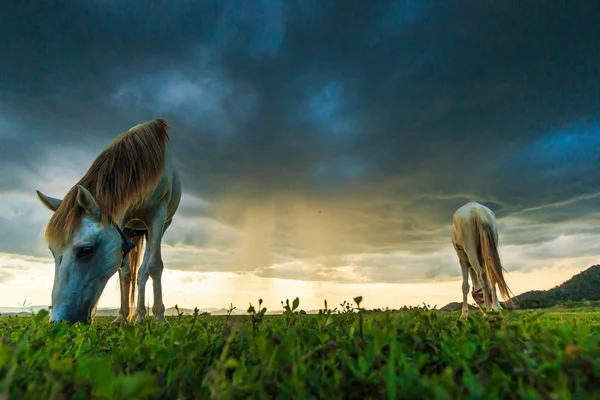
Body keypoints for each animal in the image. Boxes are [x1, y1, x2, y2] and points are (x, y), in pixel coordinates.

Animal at [34, 119, 180, 324]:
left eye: (85, 250)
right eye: (52, 251)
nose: (57, 322)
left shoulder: (158, 216)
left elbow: (154, 266)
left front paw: (160, 318)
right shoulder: (122, 225)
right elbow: (124, 273)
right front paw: (121, 318)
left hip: (156, 227)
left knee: (144, 272)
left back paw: (142, 316)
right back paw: (136, 316)